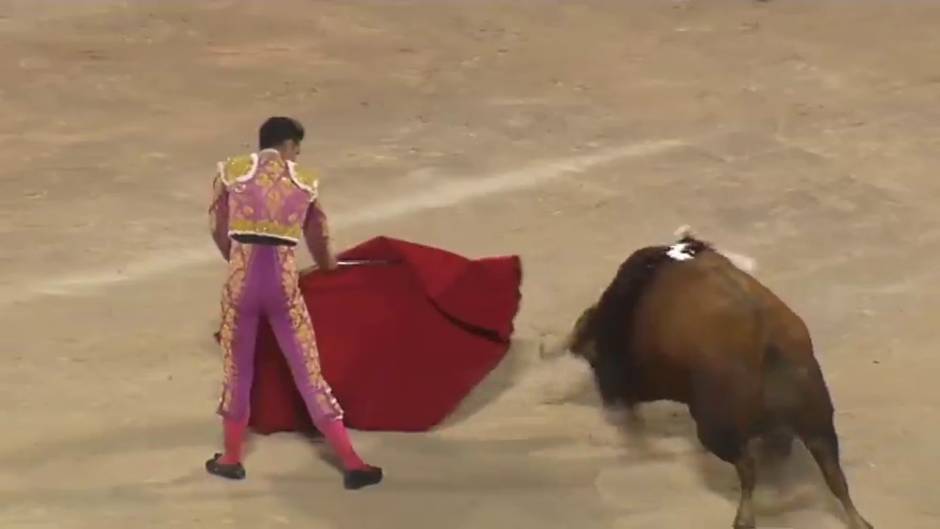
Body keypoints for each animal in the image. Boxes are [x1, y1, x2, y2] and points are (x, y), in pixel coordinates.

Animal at [560, 230, 872, 528]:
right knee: (834, 476)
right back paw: (858, 520)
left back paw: (745, 518)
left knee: (748, 467)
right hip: (818, 423)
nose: (612, 405)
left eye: (596, 359)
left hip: (716, 429)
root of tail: (768, 342)